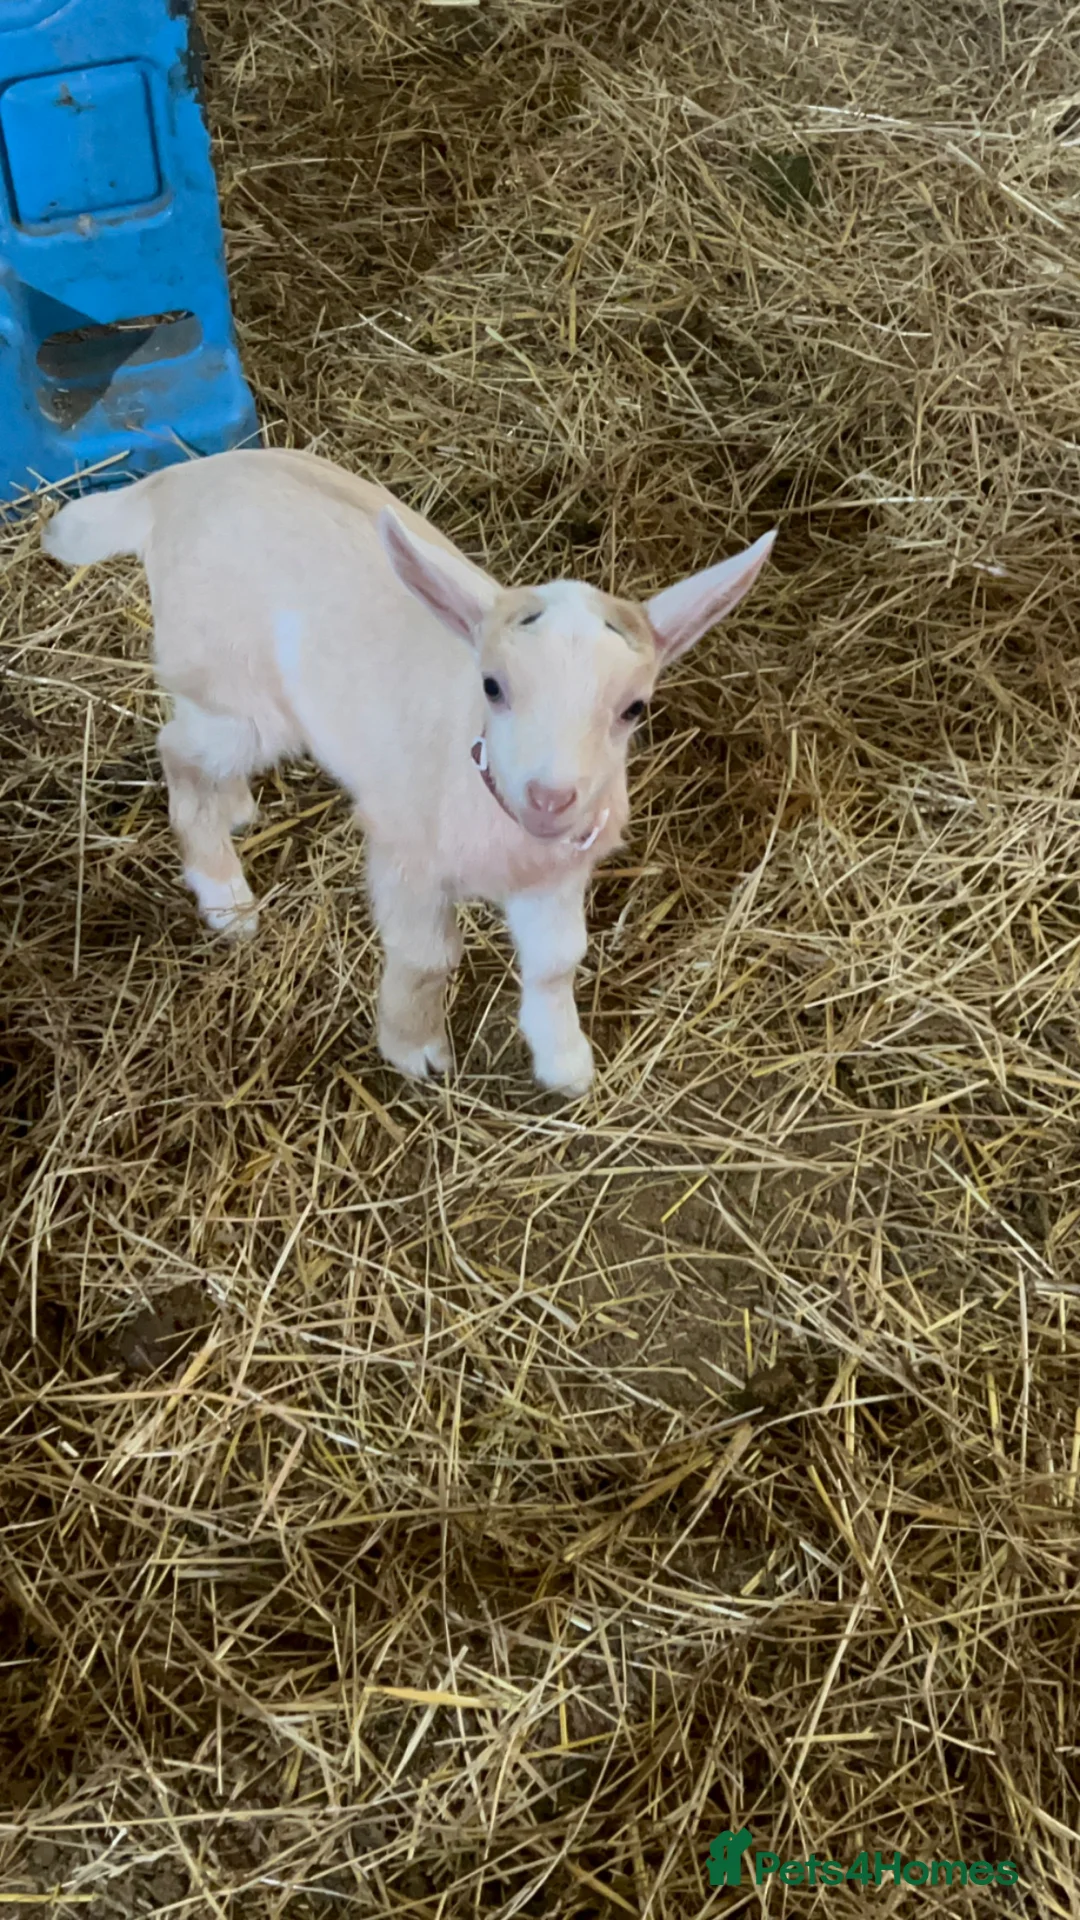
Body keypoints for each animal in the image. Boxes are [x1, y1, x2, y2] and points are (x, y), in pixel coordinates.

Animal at [42, 450, 774, 1095]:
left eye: (634, 708)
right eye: (492, 686)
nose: (550, 797)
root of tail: (171, 485)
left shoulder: (559, 876)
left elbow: (558, 961)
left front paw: (565, 1062)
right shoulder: (406, 857)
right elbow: (427, 957)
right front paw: (413, 1049)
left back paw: (239, 810)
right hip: (236, 692)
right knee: (177, 749)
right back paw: (224, 894)